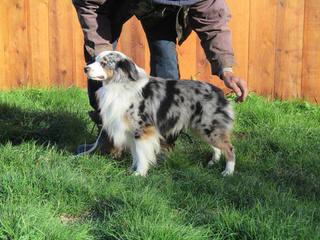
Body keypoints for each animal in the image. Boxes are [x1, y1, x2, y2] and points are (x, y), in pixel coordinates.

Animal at [84, 50, 235, 176]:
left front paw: (139, 173)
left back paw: (228, 172)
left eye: (103, 63)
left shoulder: (142, 129)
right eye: (95, 59)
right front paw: (132, 169)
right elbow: (135, 154)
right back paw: (213, 162)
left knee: (230, 148)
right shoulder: (131, 131)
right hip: (202, 128)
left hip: (209, 127)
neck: (121, 85)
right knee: (218, 147)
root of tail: (219, 91)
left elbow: (140, 153)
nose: (85, 68)